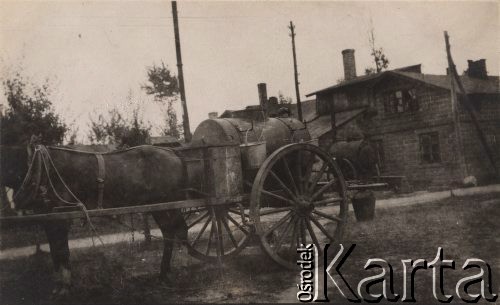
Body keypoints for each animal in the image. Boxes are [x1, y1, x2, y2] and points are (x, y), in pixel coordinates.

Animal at [0, 142, 188, 294]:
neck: (39, 168)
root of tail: (172, 152)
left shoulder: (62, 216)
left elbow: (62, 250)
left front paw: (66, 286)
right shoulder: (49, 218)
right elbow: (54, 251)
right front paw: (58, 285)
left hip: (167, 203)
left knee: (177, 231)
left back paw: (168, 271)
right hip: (160, 207)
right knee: (170, 232)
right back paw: (163, 273)